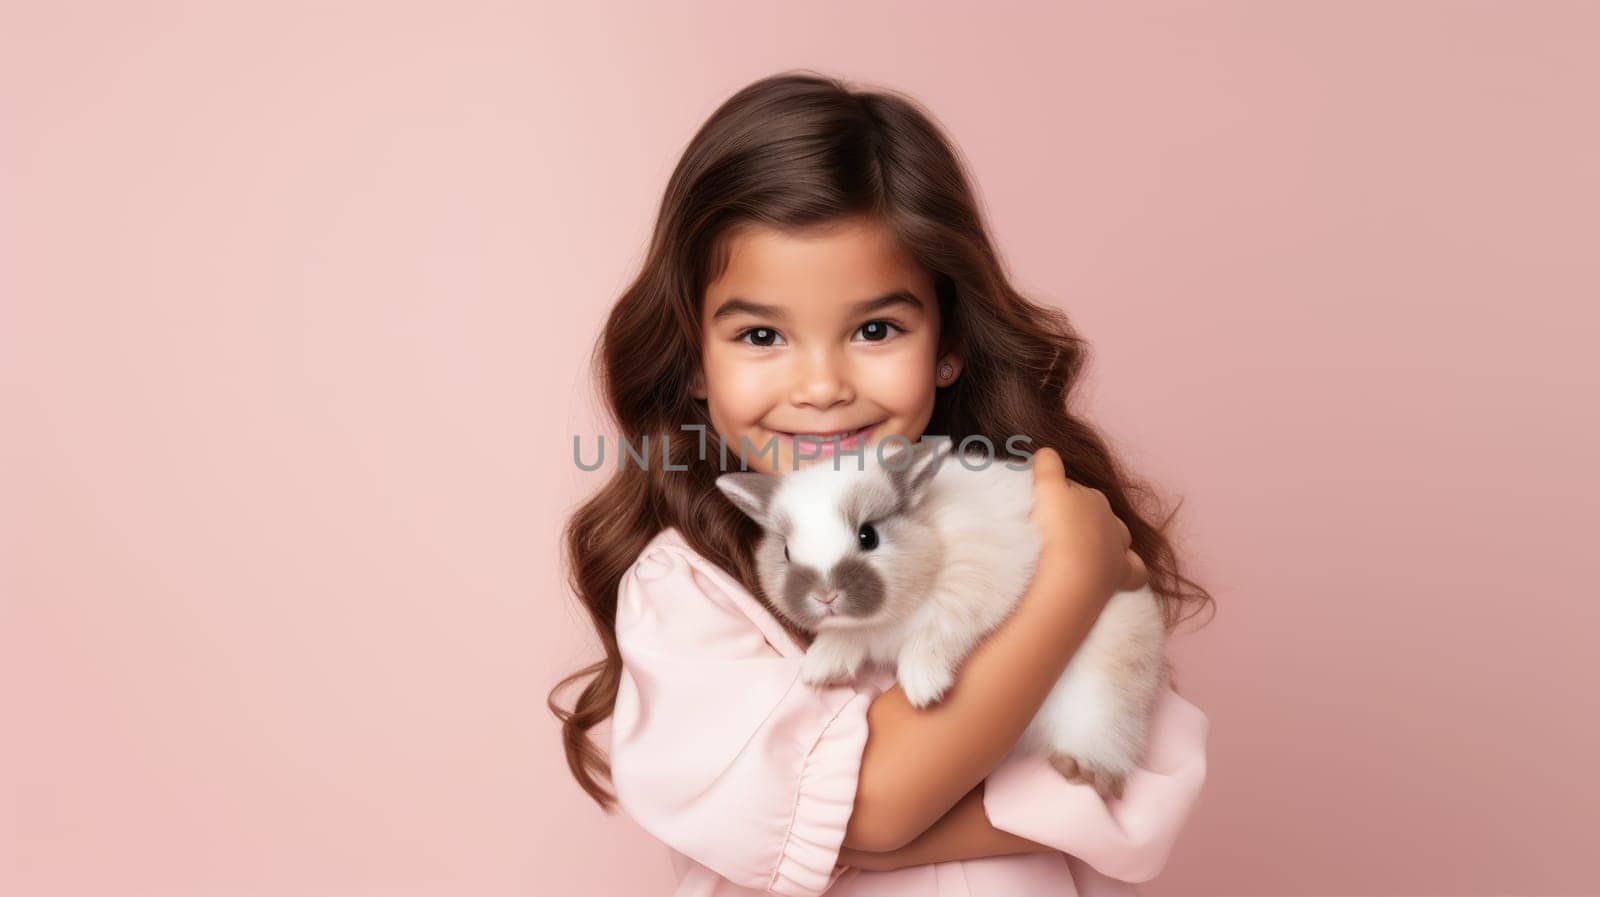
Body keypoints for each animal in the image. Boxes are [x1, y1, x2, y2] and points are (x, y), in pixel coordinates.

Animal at [720, 438, 1171, 793]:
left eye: (869, 536)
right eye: (785, 552)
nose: (826, 595)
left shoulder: (965, 594)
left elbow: (934, 637)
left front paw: (924, 688)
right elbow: (843, 637)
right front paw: (821, 668)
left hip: (1106, 680)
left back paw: (1085, 767)